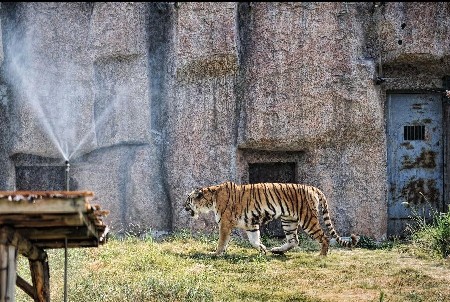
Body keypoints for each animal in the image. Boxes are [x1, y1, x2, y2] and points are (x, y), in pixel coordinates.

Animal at [184, 180, 358, 256]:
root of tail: (313, 188)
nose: (183, 207)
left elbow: (222, 242)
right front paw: (263, 248)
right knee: (294, 240)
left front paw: (215, 254)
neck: (210, 199)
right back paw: (277, 250)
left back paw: (321, 255)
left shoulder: (225, 225)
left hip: (308, 219)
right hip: (288, 220)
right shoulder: (251, 224)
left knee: (324, 237)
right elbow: (254, 240)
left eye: (188, 200)